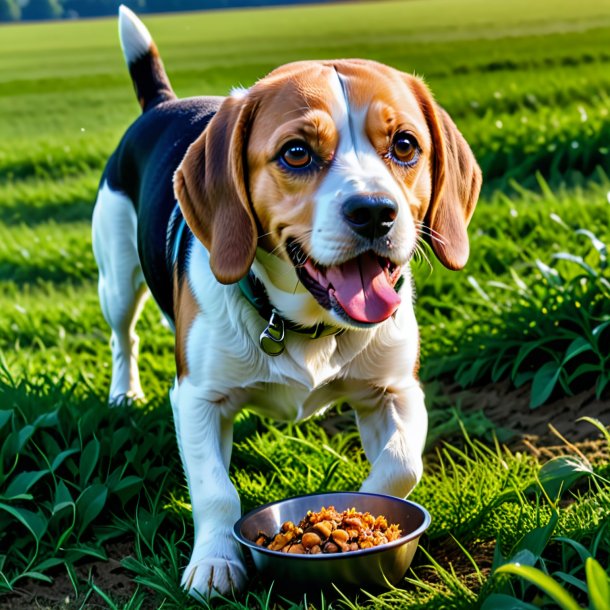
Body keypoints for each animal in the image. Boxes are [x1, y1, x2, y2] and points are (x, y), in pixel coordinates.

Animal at [91, 5, 480, 600]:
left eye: (405, 145)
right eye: (296, 152)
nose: (375, 211)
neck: (305, 324)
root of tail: (163, 102)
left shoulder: (396, 391)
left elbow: (400, 466)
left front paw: (365, 519)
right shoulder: (197, 399)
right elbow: (215, 491)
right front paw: (215, 561)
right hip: (114, 279)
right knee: (123, 336)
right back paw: (124, 393)